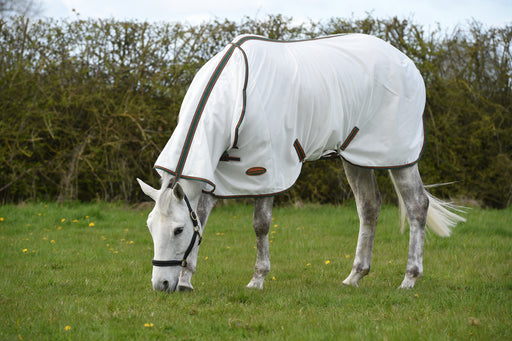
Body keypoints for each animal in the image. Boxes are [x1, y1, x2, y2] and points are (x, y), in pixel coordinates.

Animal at [136, 33, 464, 290]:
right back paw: (355, 276)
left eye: (178, 230)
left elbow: (260, 225)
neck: (237, 94)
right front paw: (186, 281)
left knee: (417, 206)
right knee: (369, 207)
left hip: (399, 157)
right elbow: (202, 219)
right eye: (150, 226)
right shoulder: (213, 174)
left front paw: (257, 279)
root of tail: (406, 62)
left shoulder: (266, 170)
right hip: (356, 157)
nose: (160, 285)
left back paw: (409, 279)